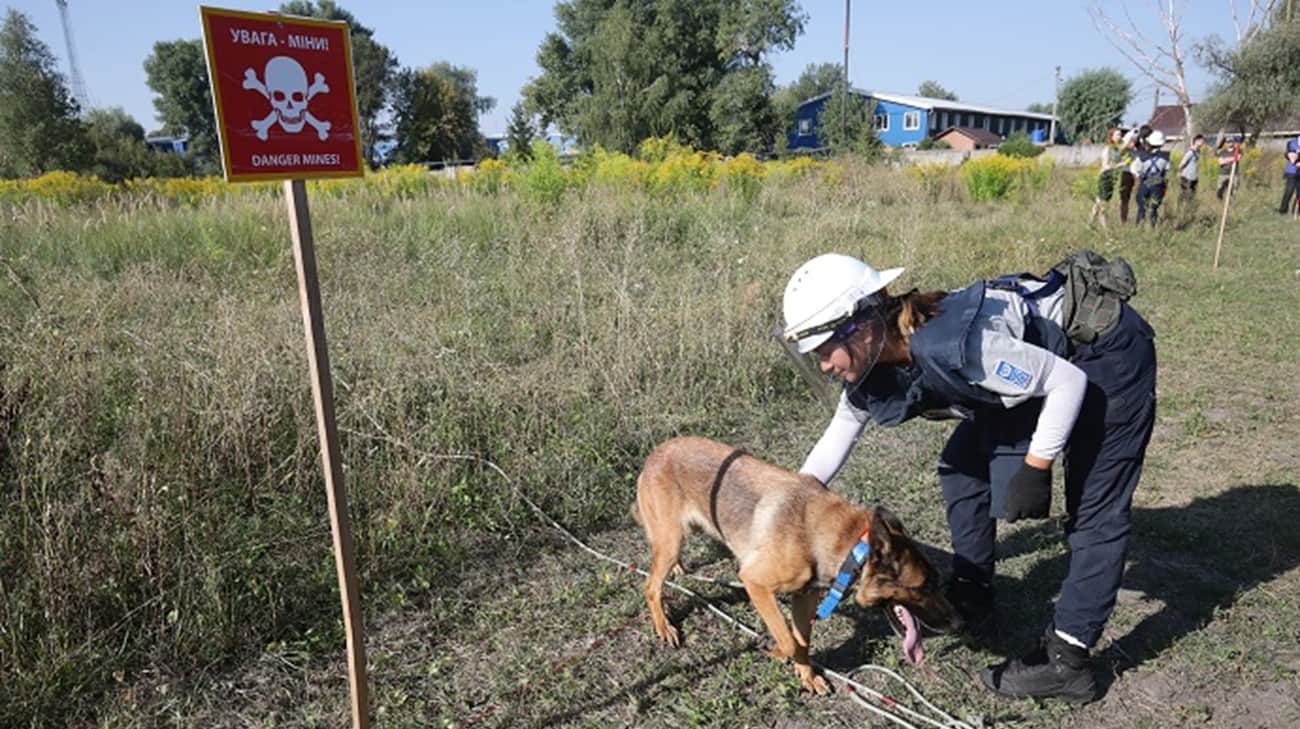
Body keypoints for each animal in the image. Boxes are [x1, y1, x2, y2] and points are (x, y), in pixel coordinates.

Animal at [634, 434, 961, 691]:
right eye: (924, 586)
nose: (958, 623)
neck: (849, 547)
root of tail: (655, 453)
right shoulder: (755, 583)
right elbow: (789, 639)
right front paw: (778, 651)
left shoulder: (805, 597)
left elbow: (802, 641)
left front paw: (806, 675)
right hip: (671, 542)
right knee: (650, 586)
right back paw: (664, 626)